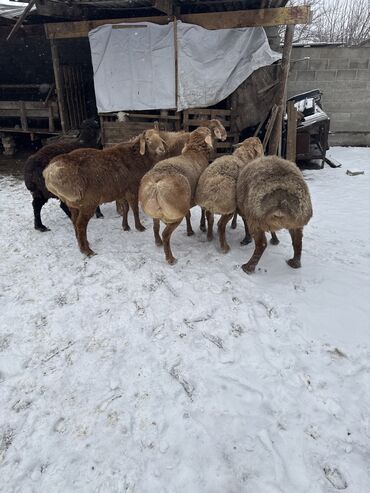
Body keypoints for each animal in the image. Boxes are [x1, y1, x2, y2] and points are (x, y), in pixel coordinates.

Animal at [139, 128, 214, 266]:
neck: (195, 152)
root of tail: (156, 184)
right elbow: (205, 213)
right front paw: (205, 230)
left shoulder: (187, 200)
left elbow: (189, 215)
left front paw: (190, 231)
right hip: (176, 213)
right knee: (165, 234)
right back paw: (170, 258)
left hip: (162, 210)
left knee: (156, 227)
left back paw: (158, 242)